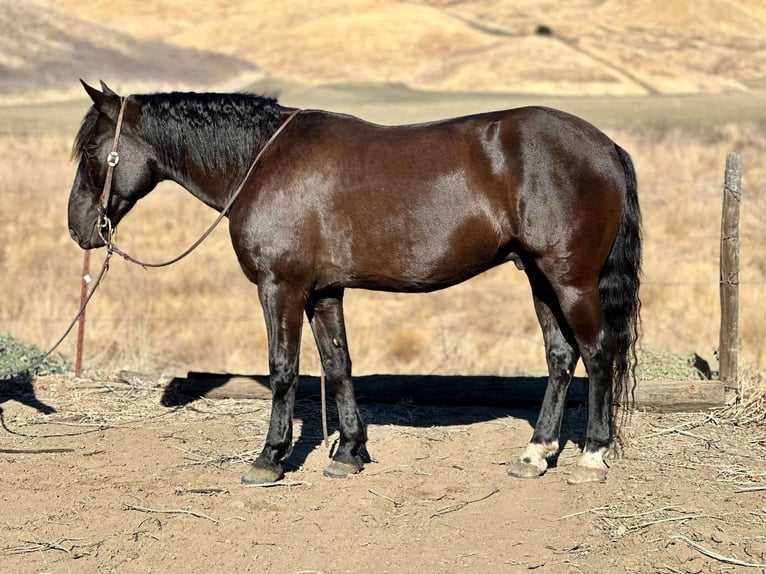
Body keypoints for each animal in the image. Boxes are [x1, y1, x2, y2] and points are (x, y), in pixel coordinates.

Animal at [70, 81, 640, 486]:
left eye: (93, 150)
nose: (79, 228)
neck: (261, 162)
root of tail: (606, 146)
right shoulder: (323, 293)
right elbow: (338, 365)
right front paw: (348, 451)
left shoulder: (280, 288)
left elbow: (283, 370)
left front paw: (270, 457)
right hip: (540, 279)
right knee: (561, 357)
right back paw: (535, 453)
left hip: (571, 280)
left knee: (597, 353)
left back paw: (591, 455)